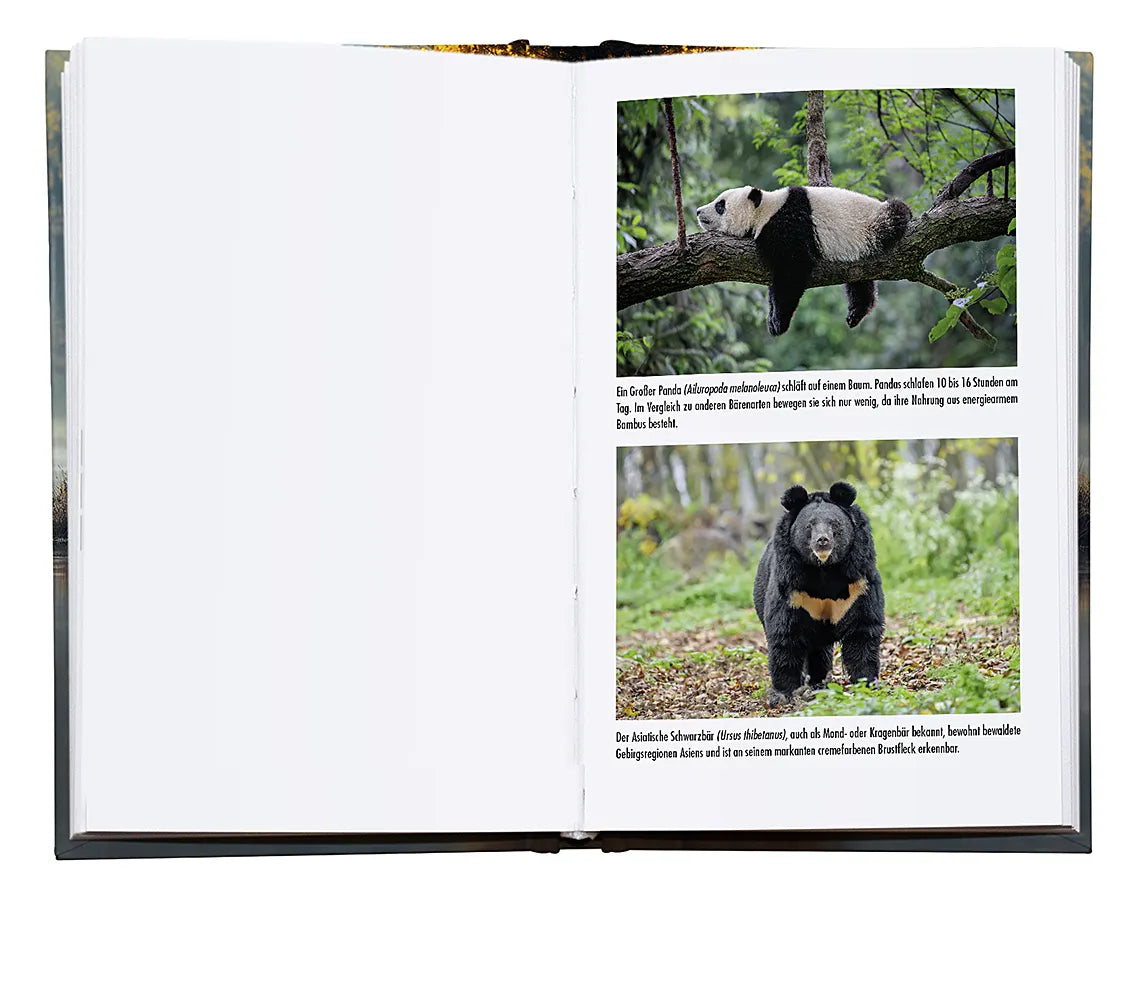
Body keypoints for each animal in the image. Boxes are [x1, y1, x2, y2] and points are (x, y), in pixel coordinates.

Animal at [752, 481, 884, 707]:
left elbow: (863, 629)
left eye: (834, 524)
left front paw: (866, 683)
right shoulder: (791, 587)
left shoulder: (859, 582)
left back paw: (819, 683)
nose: (822, 541)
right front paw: (783, 694)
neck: (824, 569)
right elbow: (784, 634)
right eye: (809, 526)